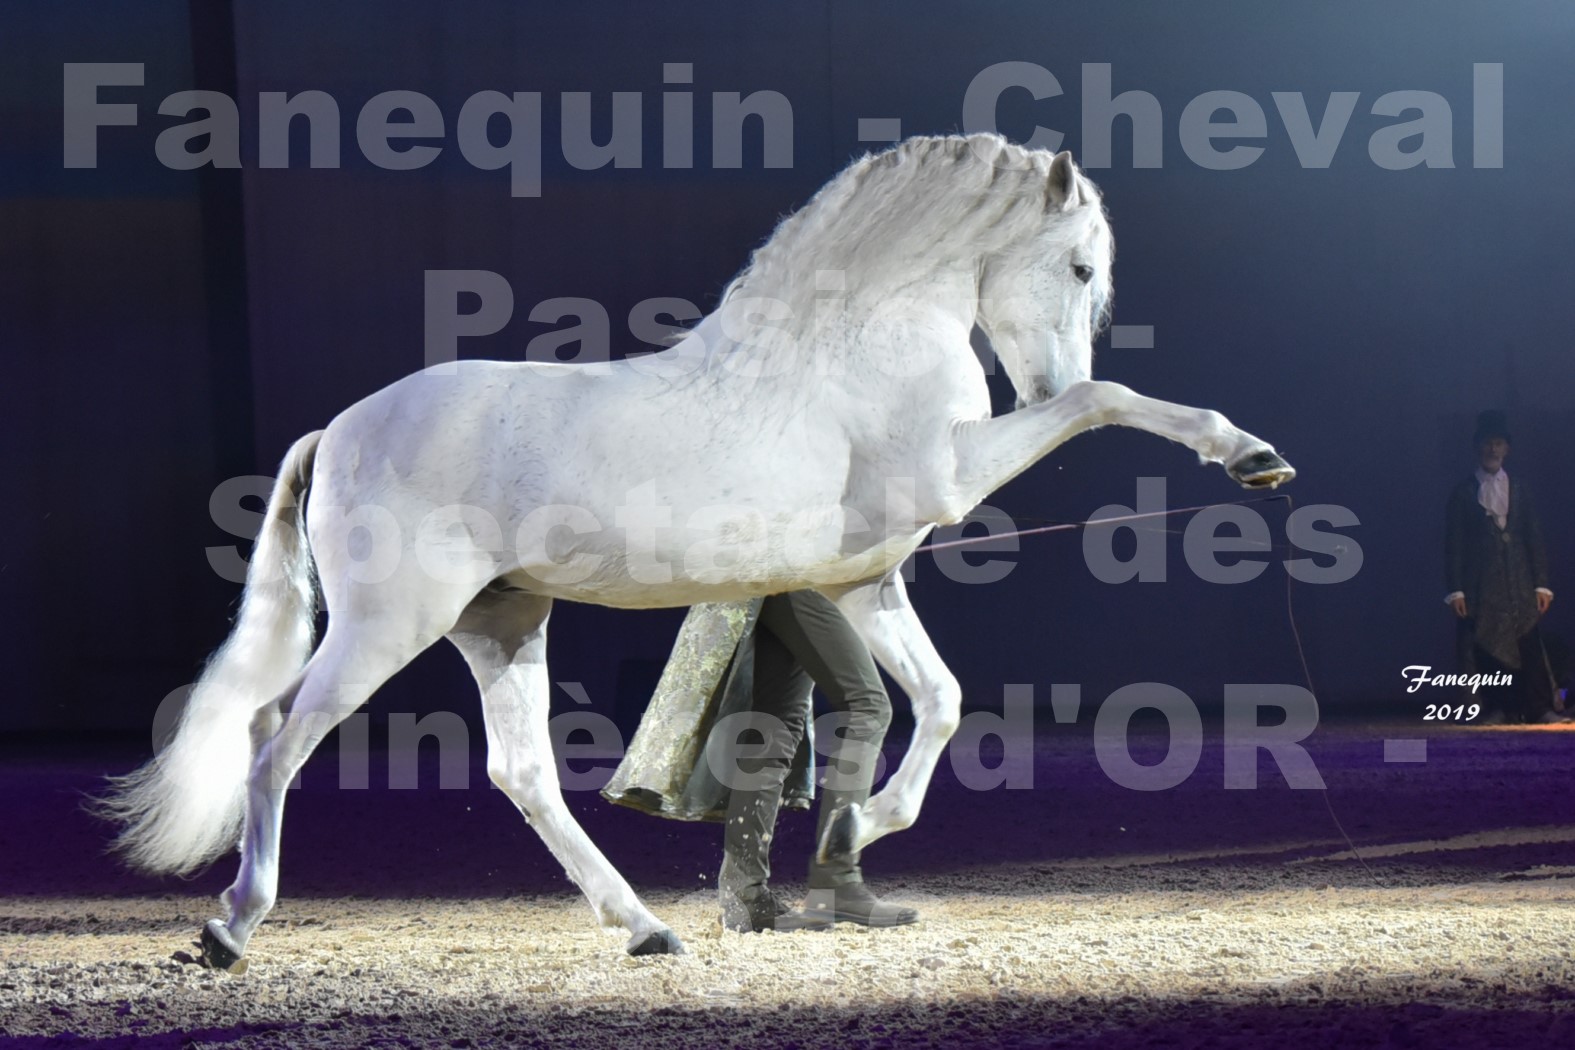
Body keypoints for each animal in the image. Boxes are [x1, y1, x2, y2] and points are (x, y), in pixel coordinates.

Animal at [104, 133, 1297, 969]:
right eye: (1082, 266)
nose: (1040, 381)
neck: (854, 336)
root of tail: (339, 427)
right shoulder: (948, 482)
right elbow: (1109, 403)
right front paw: (1249, 456)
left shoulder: (860, 581)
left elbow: (938, 698)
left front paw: (870, 824)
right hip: (389, 623)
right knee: (273, 738)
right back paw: (229, 928)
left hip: (502, 622)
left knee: (520, 772)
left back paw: (645, 928)